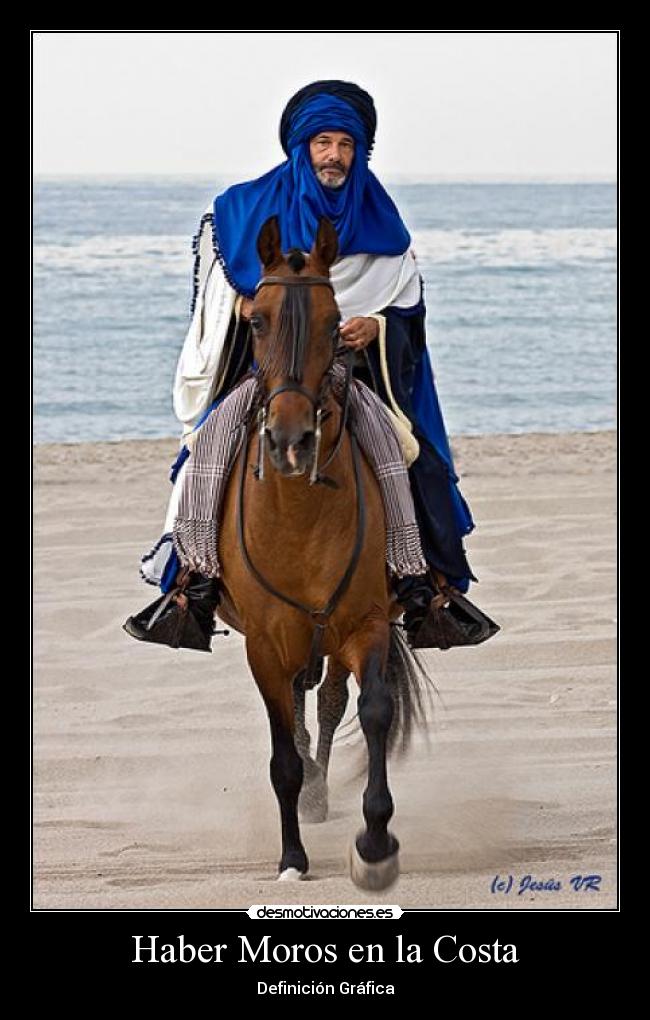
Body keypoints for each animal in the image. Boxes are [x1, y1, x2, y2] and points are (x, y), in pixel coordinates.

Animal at [216, 217, 430, 893]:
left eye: (337, 323)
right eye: (256, 321)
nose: (290, 442)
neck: (298, 517)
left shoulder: (366, 624)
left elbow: (374, 711)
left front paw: (376, 844)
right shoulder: (263, 643)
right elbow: (282, 753)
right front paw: (292, 857)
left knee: (331, 702)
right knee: (301, 706)